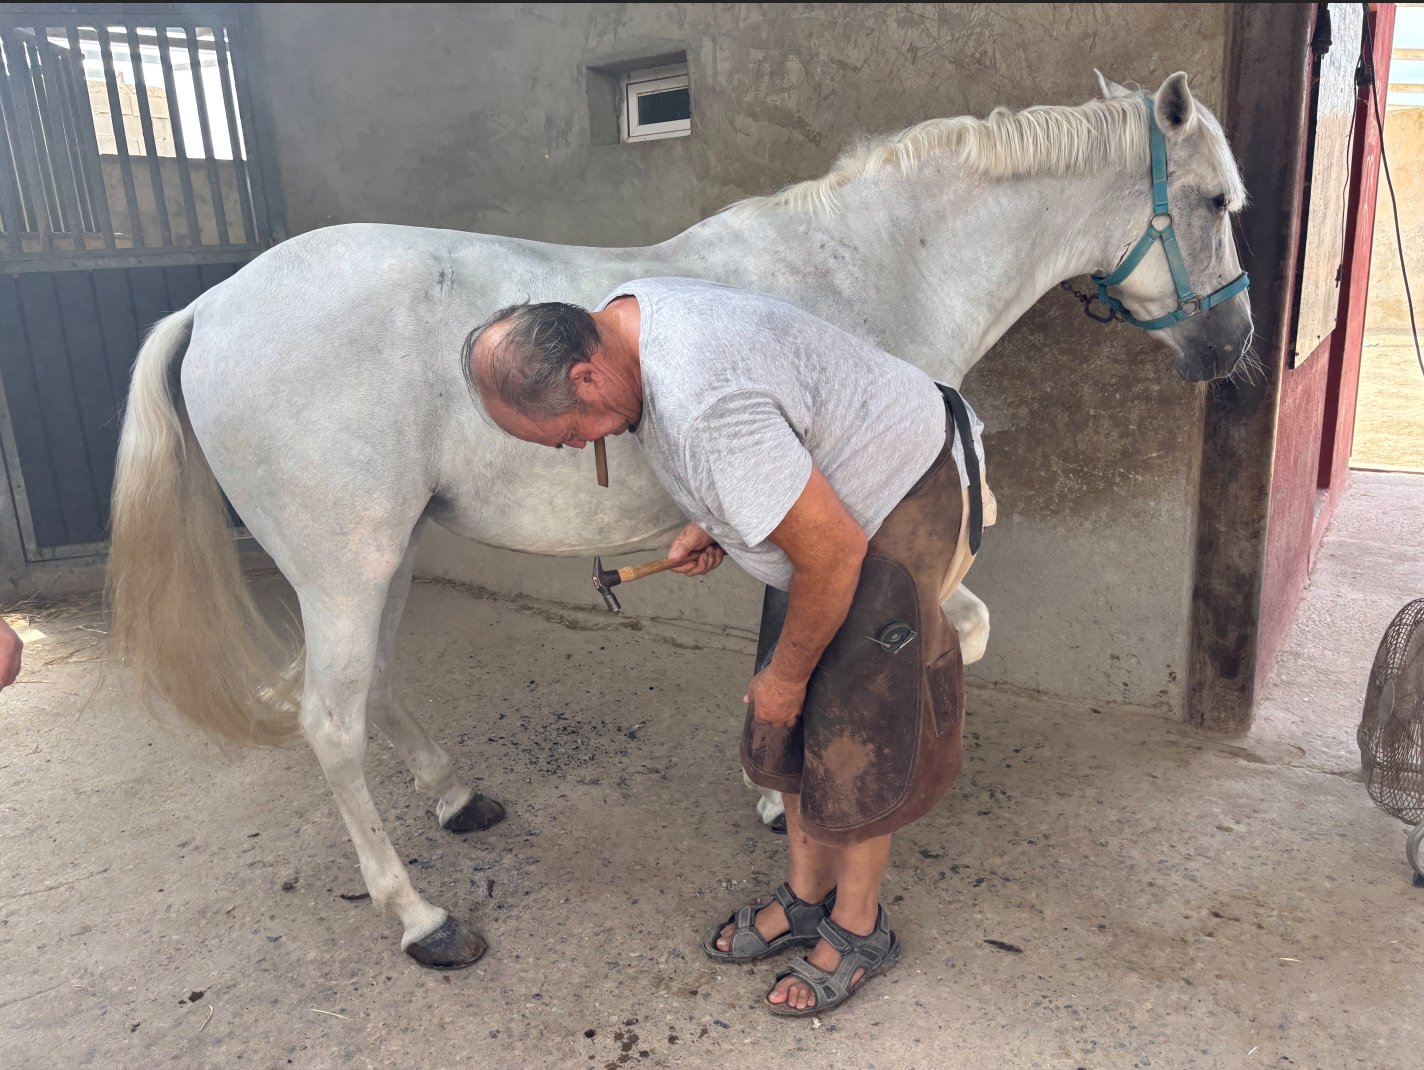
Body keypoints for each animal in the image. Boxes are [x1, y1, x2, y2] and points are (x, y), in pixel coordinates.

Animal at [108, 71, 1253, 968]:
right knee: (331, 722)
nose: (1232, 345)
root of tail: (209, 306)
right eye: (1212, 199)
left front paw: (779, 790)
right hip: (345, 565)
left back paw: (457, 799)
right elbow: (929, 637)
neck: (875, 264)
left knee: (371, 687)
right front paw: (808, 795)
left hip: (383, 558)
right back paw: (423, 919)